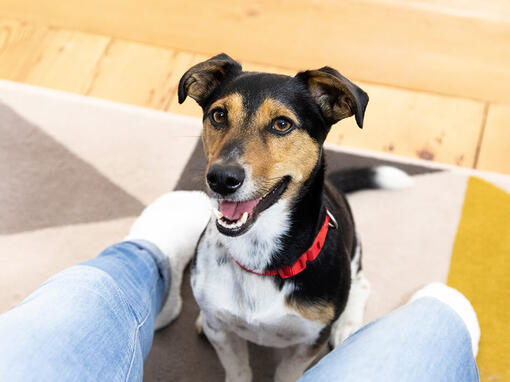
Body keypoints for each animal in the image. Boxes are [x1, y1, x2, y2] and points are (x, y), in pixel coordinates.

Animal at [179, 53, 410, 382]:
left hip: (354, 253)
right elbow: (237, 369)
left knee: (362, 284)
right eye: (219, 115)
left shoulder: (309, 342)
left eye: (282, 124)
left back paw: (347, 326)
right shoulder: (223, 336)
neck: (259, 255)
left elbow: (288, 373)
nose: (221, 179)